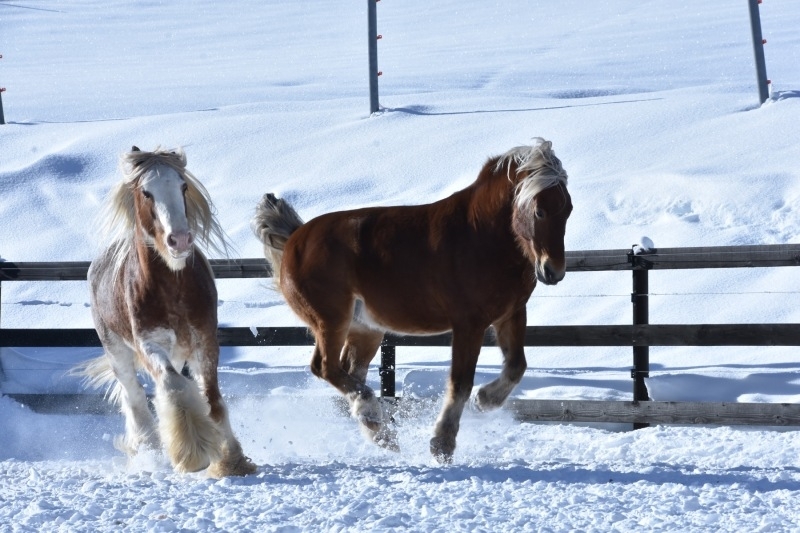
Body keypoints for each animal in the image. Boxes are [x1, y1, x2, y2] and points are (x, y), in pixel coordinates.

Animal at [78, 146, 256, 477]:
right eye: (146, 192)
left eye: (183, 186)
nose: (180, 239)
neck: (172, 290)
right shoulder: (149, 344)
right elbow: (173, 385)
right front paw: (194, 453)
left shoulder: (205, 340)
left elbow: (212, 401)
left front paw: (231, 460)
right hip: (116, 351)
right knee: (135, 399)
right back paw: (148, 449)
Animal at [252, 138, 572, 463]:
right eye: (540, 211)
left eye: (568, 209)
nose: (553, 271)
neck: (481, 236)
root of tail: (294, 240)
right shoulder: (469, 324)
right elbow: (460, 382)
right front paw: (442, 444)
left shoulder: (511, 314)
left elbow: (516, 366)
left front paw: (485, 400)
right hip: (330, 321)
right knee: (325, 367)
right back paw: (372, 414)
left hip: (365, 330)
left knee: (349, 371)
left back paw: (380, 431)